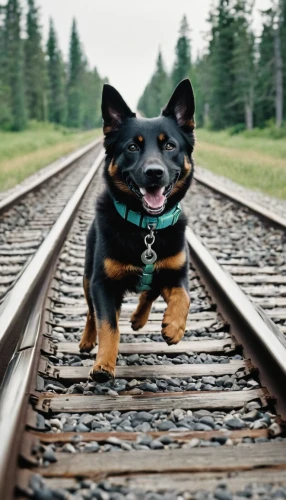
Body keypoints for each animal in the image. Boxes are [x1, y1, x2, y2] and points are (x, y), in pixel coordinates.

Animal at [79, 79, 194, 382]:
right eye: (132, 146)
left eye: (170, 145)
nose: (154, 172)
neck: (147, 228)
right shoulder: (102, 284)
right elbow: (108, 325)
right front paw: (104, 365)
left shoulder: (177, 272)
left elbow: (184, 296)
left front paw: (174, 326)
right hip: (87, 276)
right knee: (91, 312)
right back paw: (87, 339)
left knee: (149, 291)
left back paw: (140, 318)